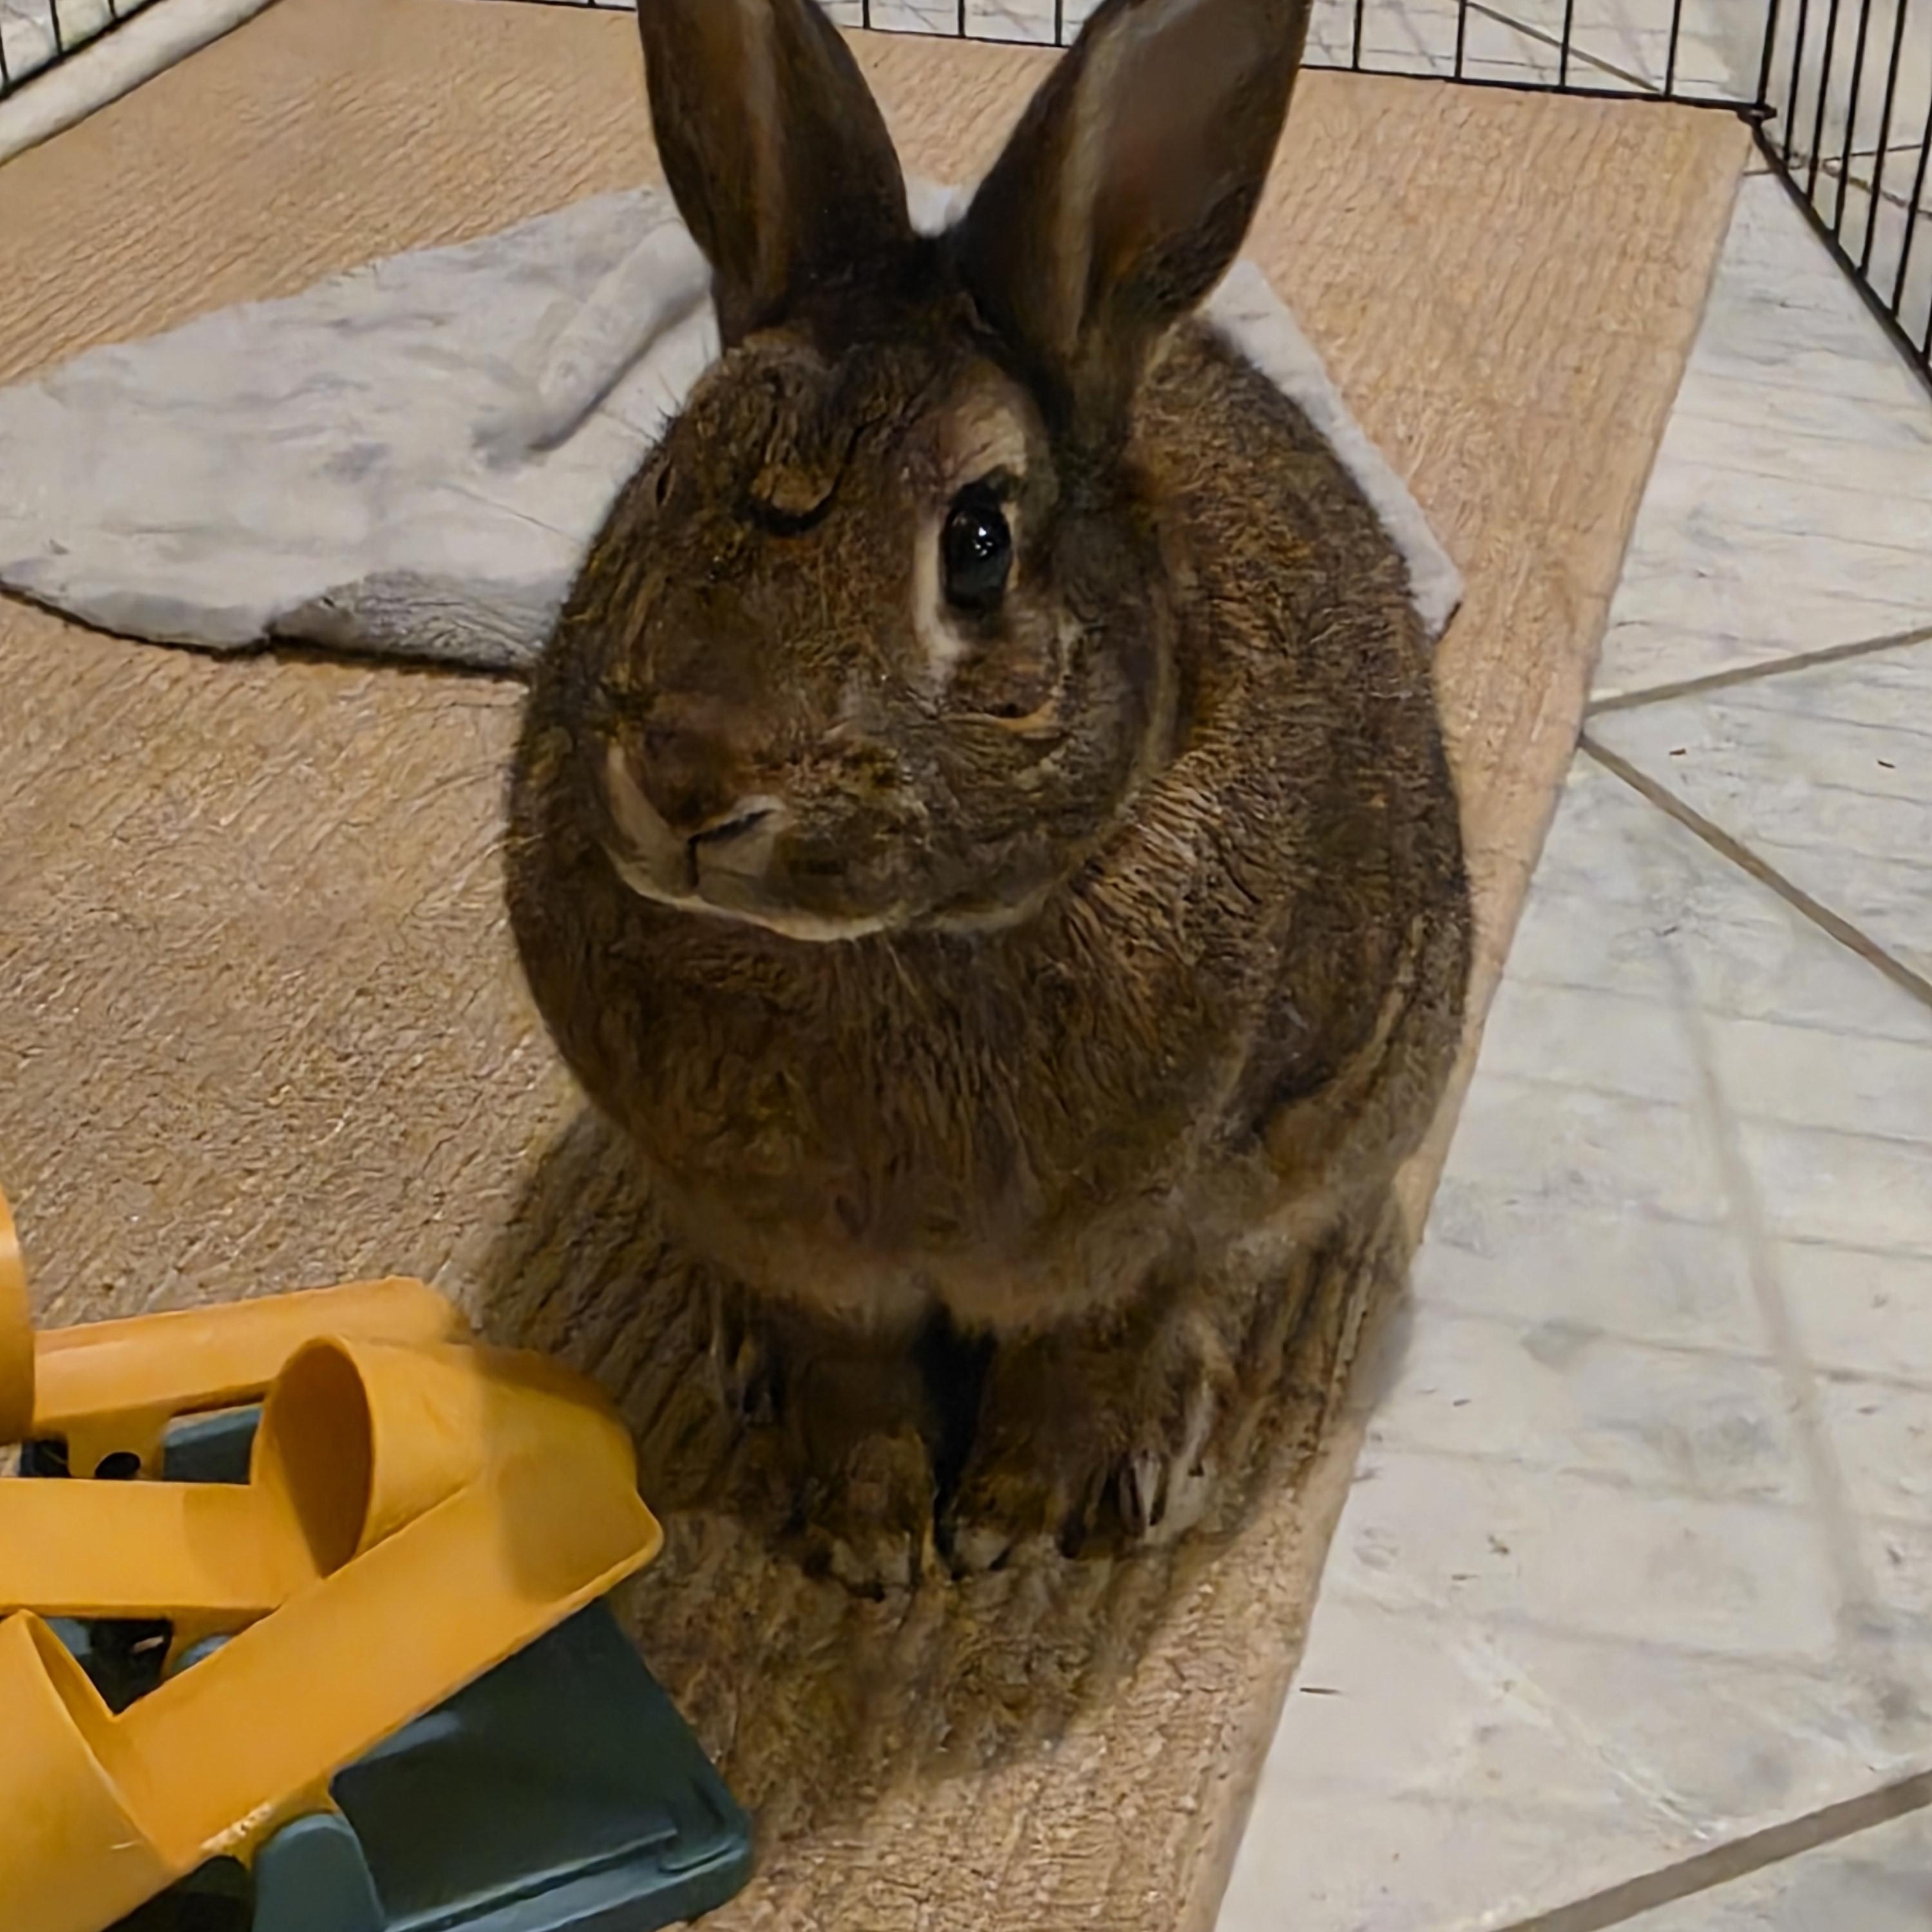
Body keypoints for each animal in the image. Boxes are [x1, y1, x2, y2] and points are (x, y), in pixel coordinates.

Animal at [505, 0, 1472, 1580]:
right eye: (662, 481)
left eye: (977, 545)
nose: (691, 779)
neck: (893, 948)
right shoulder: (808, 1261)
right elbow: (851, 1374)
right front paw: (869, 1538)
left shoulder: (1151, 1230)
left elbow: (1085, 1361)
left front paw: (1010, 1528)